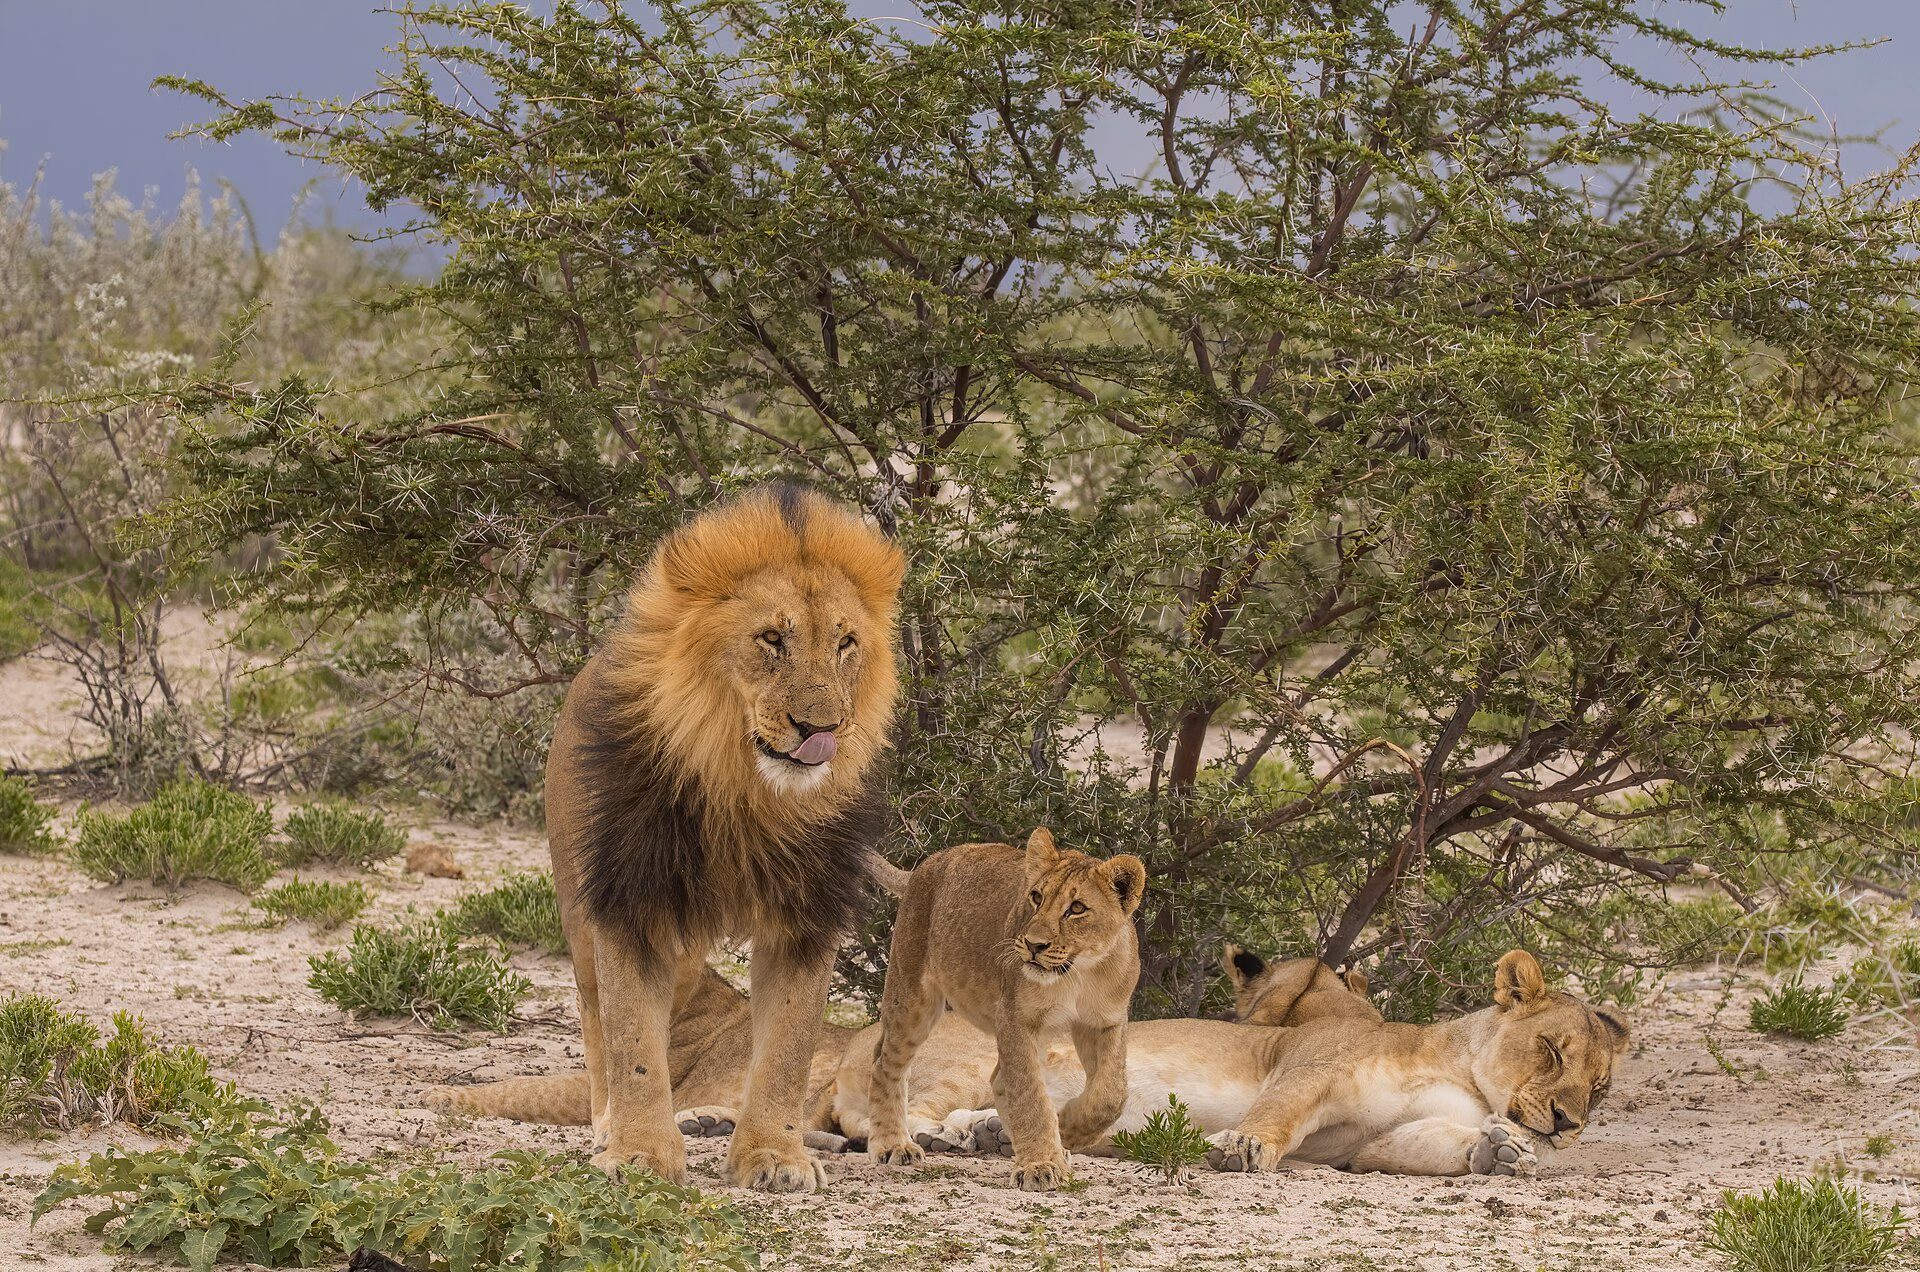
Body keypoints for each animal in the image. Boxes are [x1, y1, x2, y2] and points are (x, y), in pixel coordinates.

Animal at [481, 484, 903, 1193]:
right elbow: (633, 1042)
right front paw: (640, 1154)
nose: (820, 728)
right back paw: (606, 1125)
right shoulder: (630, 902)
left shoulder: (805, 917)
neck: (745, 789)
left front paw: (775, 1155)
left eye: (846, 643)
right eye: (771, 639)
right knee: (596, 1025)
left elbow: (787, 1048)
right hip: (578, 908)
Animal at [863, 827, 1146, 1191]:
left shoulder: (1105, 1021)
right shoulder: (1016, 1017)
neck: (1080, 972)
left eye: (1077, 908)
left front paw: (1067, 1132)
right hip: (911, 996)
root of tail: (927, 863)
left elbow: (1111, 1094)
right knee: (885, 1064)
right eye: (1036, 897)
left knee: (998, 1080)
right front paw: (1041, 1162)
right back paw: (893, 1145)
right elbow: (1030, 1094)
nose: (1034, 945)